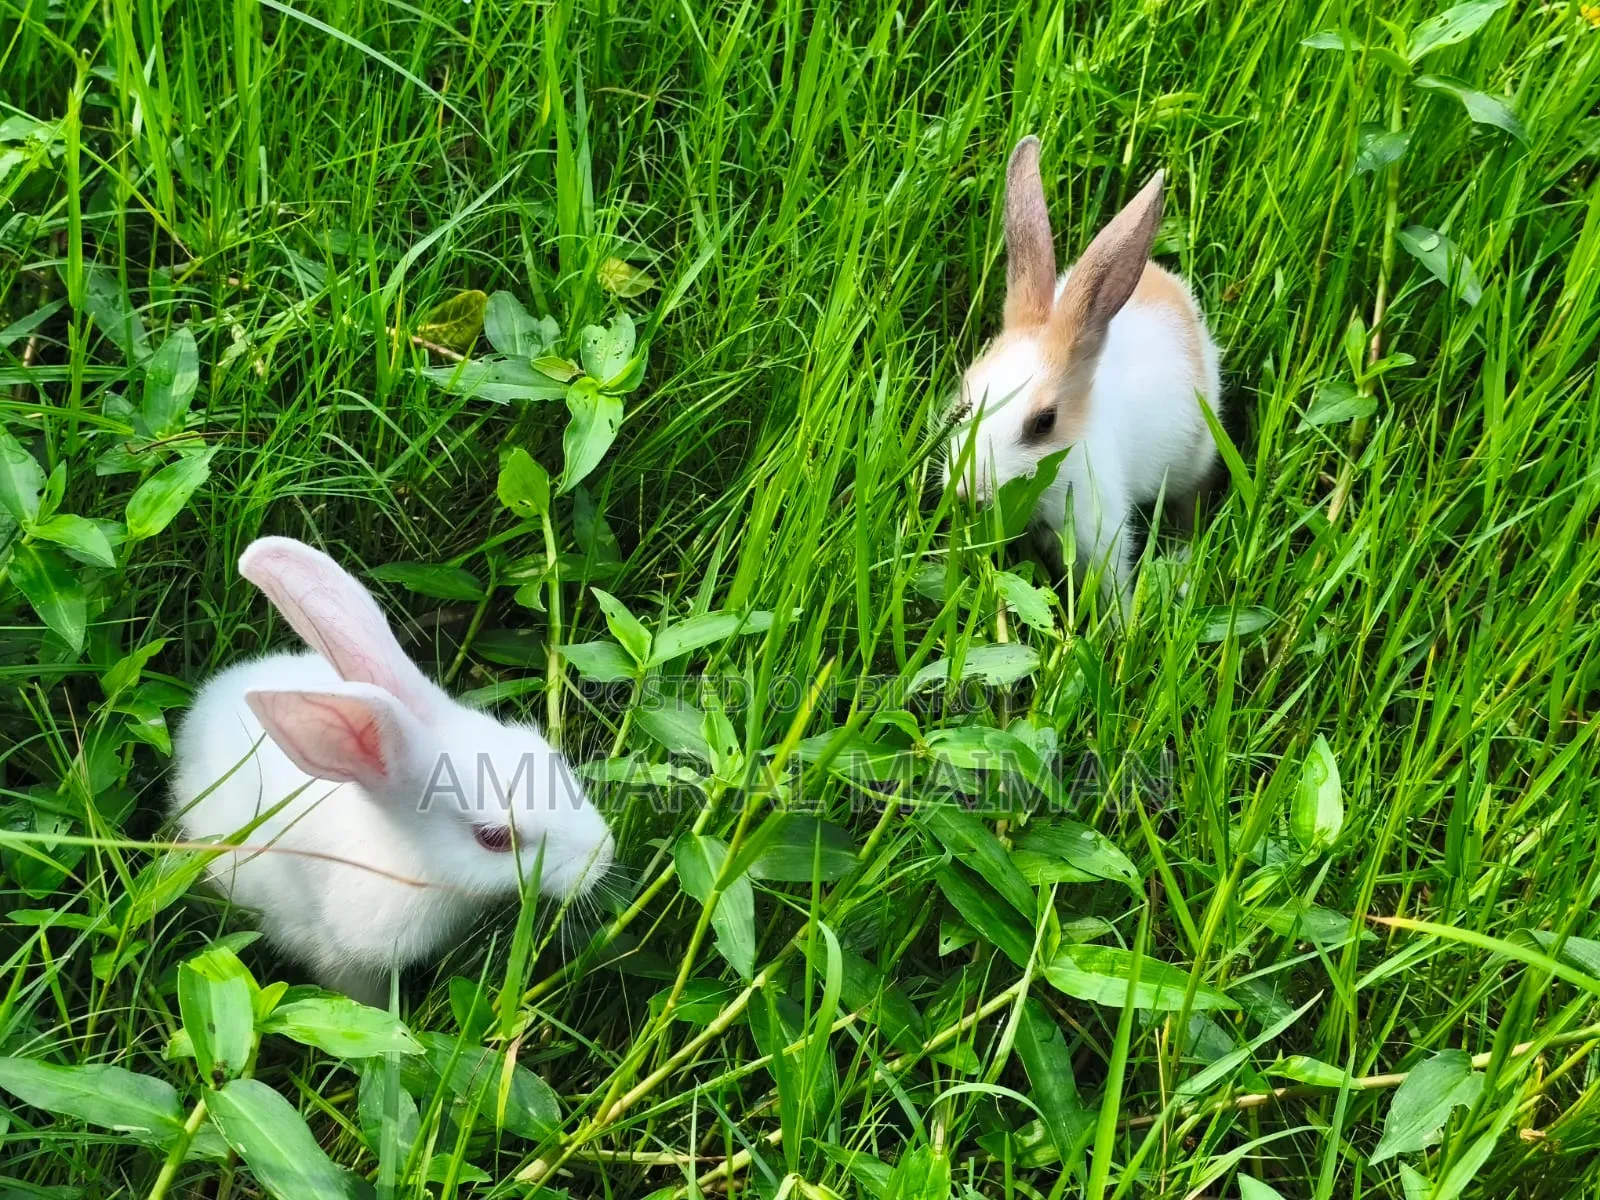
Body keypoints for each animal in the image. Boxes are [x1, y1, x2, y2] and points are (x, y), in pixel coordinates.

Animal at [943, 135, 1223, 612]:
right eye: (965, 398)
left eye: (1044, 423)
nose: (966, 492)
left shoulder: (1101, 530)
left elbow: (1113, 585)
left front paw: (1122, 624)